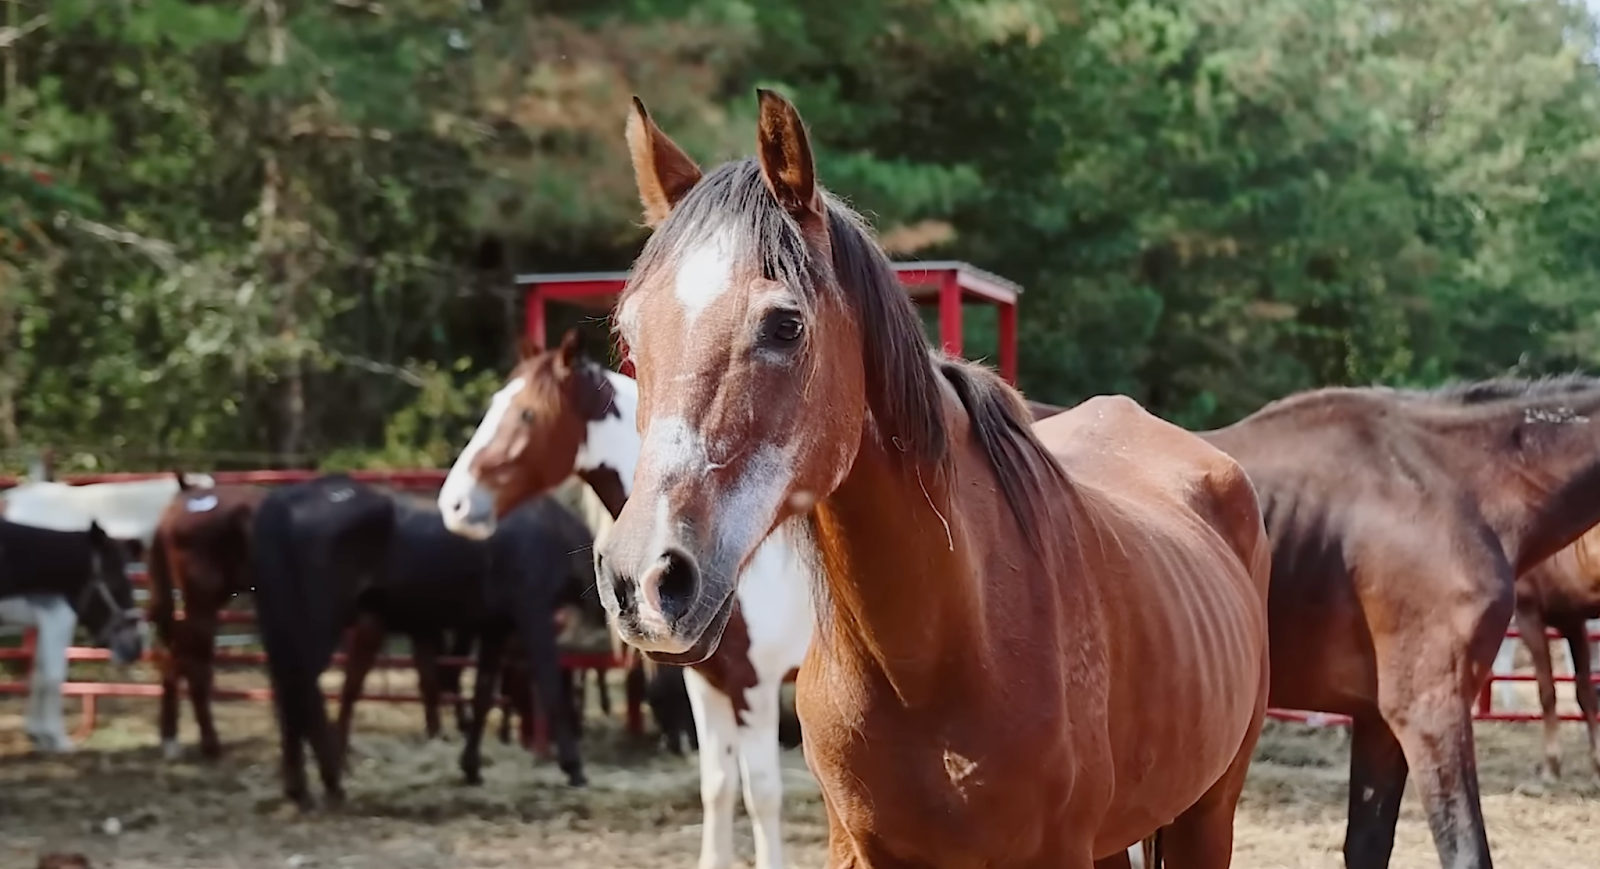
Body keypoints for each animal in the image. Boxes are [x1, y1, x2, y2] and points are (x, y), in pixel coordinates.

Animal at [0, 517, 145, 751]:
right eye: (115, 579)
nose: (136, 648)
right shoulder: (58, 617)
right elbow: (53, 677)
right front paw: (57, 739)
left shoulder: (45, 620)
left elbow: (39, 674)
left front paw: (39, 735)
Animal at [438, 329, 814, 869]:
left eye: (527, 414)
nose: (455, 504)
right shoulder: (707, 684)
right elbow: (718, 786)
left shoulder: (754, 686)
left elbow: (761, 795)